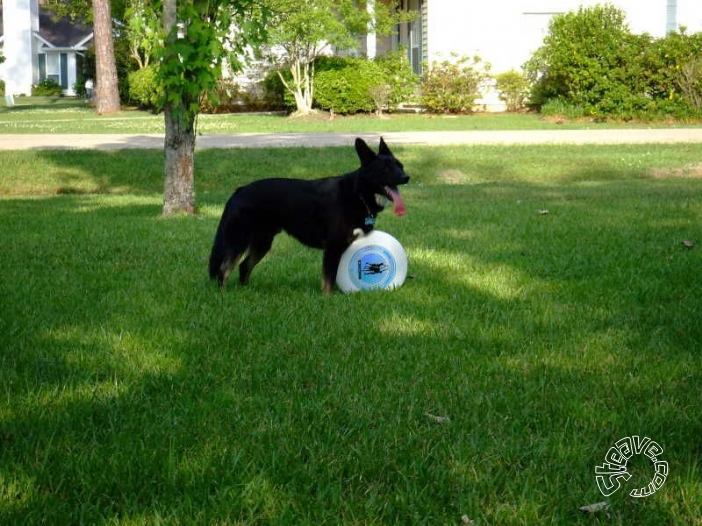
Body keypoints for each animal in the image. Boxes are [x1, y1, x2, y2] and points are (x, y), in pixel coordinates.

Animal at [209, 138, 410, 294]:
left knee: (244, 266)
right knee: (224, 269)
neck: (358, 193)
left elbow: (332, 276)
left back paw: (246, 291)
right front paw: (329, 299)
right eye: (385, 169)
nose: (406, 177)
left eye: (400, 166)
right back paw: (223, 294)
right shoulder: (333, 247)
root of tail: (239, 191)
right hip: (239, 240)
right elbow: (328, 279)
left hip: (262, 243)